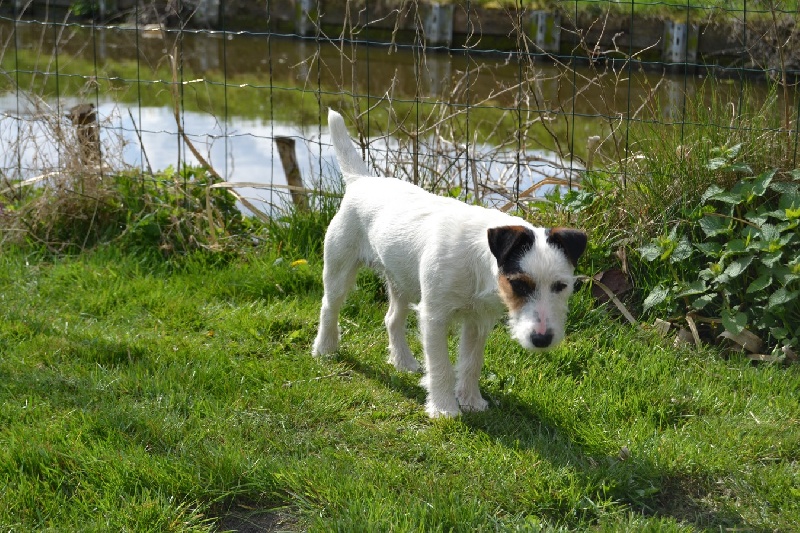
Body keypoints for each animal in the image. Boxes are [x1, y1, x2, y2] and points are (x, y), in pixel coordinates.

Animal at [314, 110, 588, 418]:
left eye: (561, 286)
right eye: (518, 284)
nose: (542, 340)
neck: (477, 261)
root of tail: (361, 181)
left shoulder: (477, 321)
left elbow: (471, 363)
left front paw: (470, 401)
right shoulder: (434, 317)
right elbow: (440, 366)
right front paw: (444, 408)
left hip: (401, 279)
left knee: (392, 319)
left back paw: (403, 362)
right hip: (339, 267)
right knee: (329, 306)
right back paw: (325, 348)